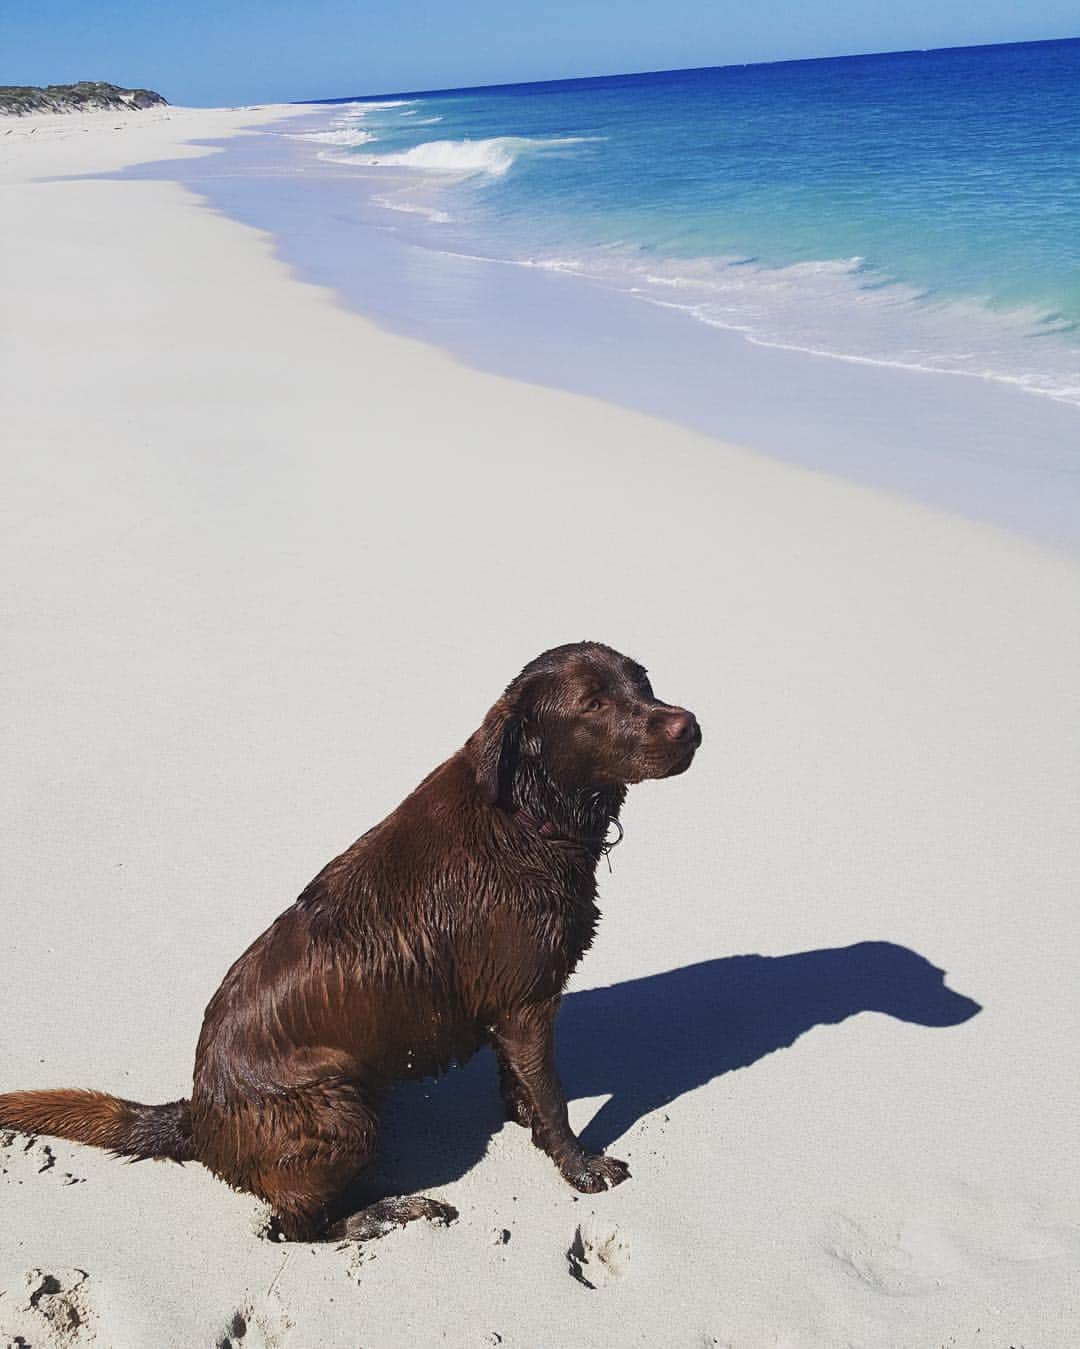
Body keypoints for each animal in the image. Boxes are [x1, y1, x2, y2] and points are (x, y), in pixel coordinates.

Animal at [0, 642, 701, 1241]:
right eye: (593, 704)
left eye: (643, 681)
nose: (690, 726)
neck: (531, 816)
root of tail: (198, 1117)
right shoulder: (528, 1002)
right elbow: (552, 1096)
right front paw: (581, 1165)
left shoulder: (515, 1006)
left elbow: (523, 1083)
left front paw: (525, 1120)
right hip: (342, 1105)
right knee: (298, 1225)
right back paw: (391, 1211)